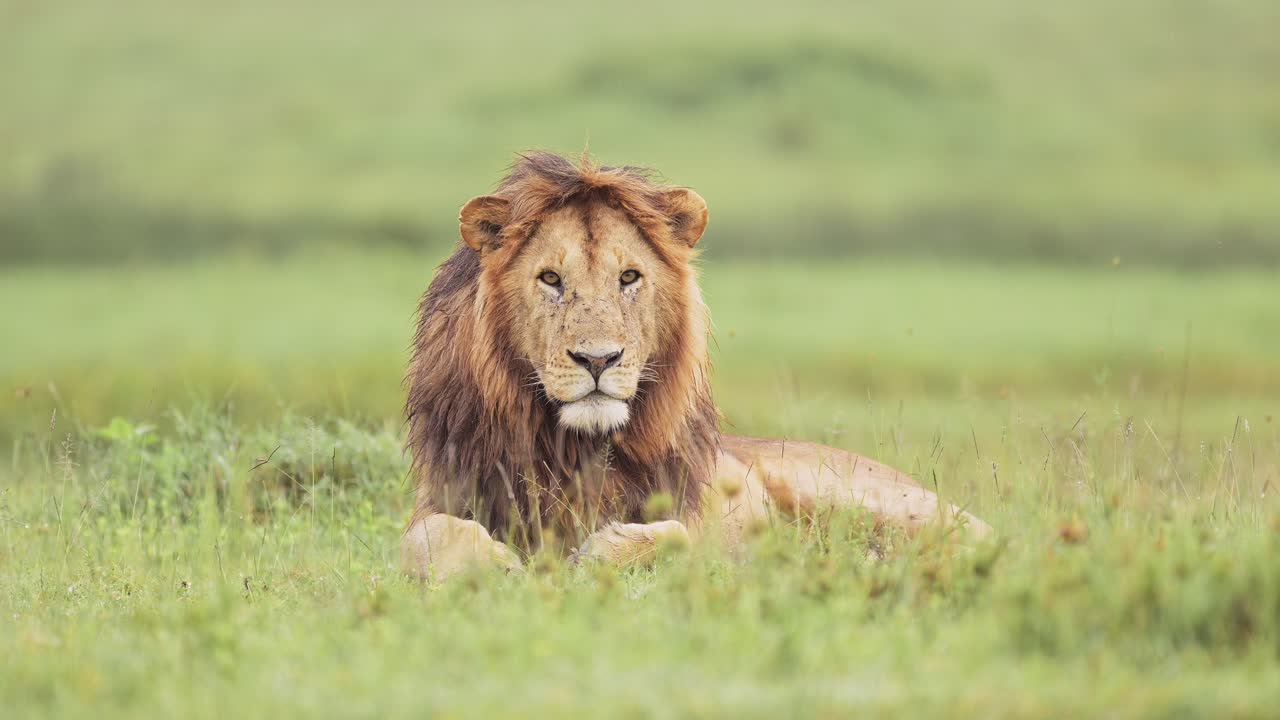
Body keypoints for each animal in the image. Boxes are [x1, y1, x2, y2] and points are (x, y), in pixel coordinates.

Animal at [402, 152, 990, 578]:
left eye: (629, 277)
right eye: (550, 279)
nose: (598, 359)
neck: (576, 447)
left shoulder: (695, 515)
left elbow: (679, 540)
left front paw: (594, 555)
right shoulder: (445, 495)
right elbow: (424, 540)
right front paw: (499, 564)